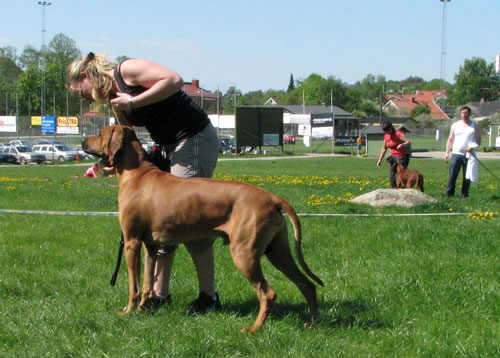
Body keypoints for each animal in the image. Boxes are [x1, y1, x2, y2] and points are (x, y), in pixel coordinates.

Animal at [81, 126, 324, 332]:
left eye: (100, 134)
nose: (83, 141)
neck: (138, 174)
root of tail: (273, 198)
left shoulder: (132, 242)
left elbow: (134, 286)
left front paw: (128, 312)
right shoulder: (150, 245)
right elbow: (148, 283)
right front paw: (142, 310)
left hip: (244, 254)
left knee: (268, 293)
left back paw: (254, 328)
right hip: (278, 252)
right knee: (307, 285)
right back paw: (312, 323)